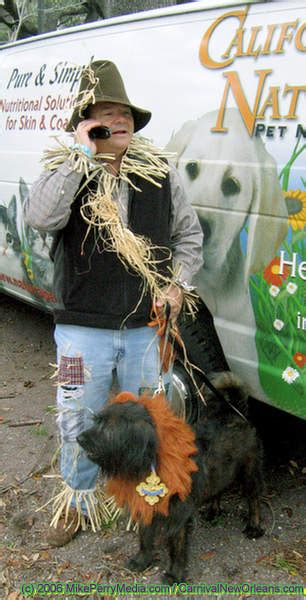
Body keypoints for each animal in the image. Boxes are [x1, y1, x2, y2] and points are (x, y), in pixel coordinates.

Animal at [77, 372, 264, 584]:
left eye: (108, 428)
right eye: (97, 421)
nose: (79, 438)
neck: (153, 463)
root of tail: (234, 413)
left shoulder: (177, 516)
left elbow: (177, 547)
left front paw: (175, 573)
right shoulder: (147, 506)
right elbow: (145, 536)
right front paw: (142, 560)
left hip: (249, 473)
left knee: (254, 499)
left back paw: (254, 526)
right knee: (218, 489)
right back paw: (213, 511)